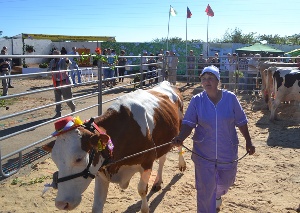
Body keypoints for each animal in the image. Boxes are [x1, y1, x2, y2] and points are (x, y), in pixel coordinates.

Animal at [42, 80, 185, 212]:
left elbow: (142, 190)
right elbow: (97, 206)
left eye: (79, 159)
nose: (61, 203)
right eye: (55, 160)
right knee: (162, 158)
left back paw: (181, 165)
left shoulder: (147, 162)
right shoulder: (100, 172)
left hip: (180, 128)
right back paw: (158, 182)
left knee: (178, 146)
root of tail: (167, 83)